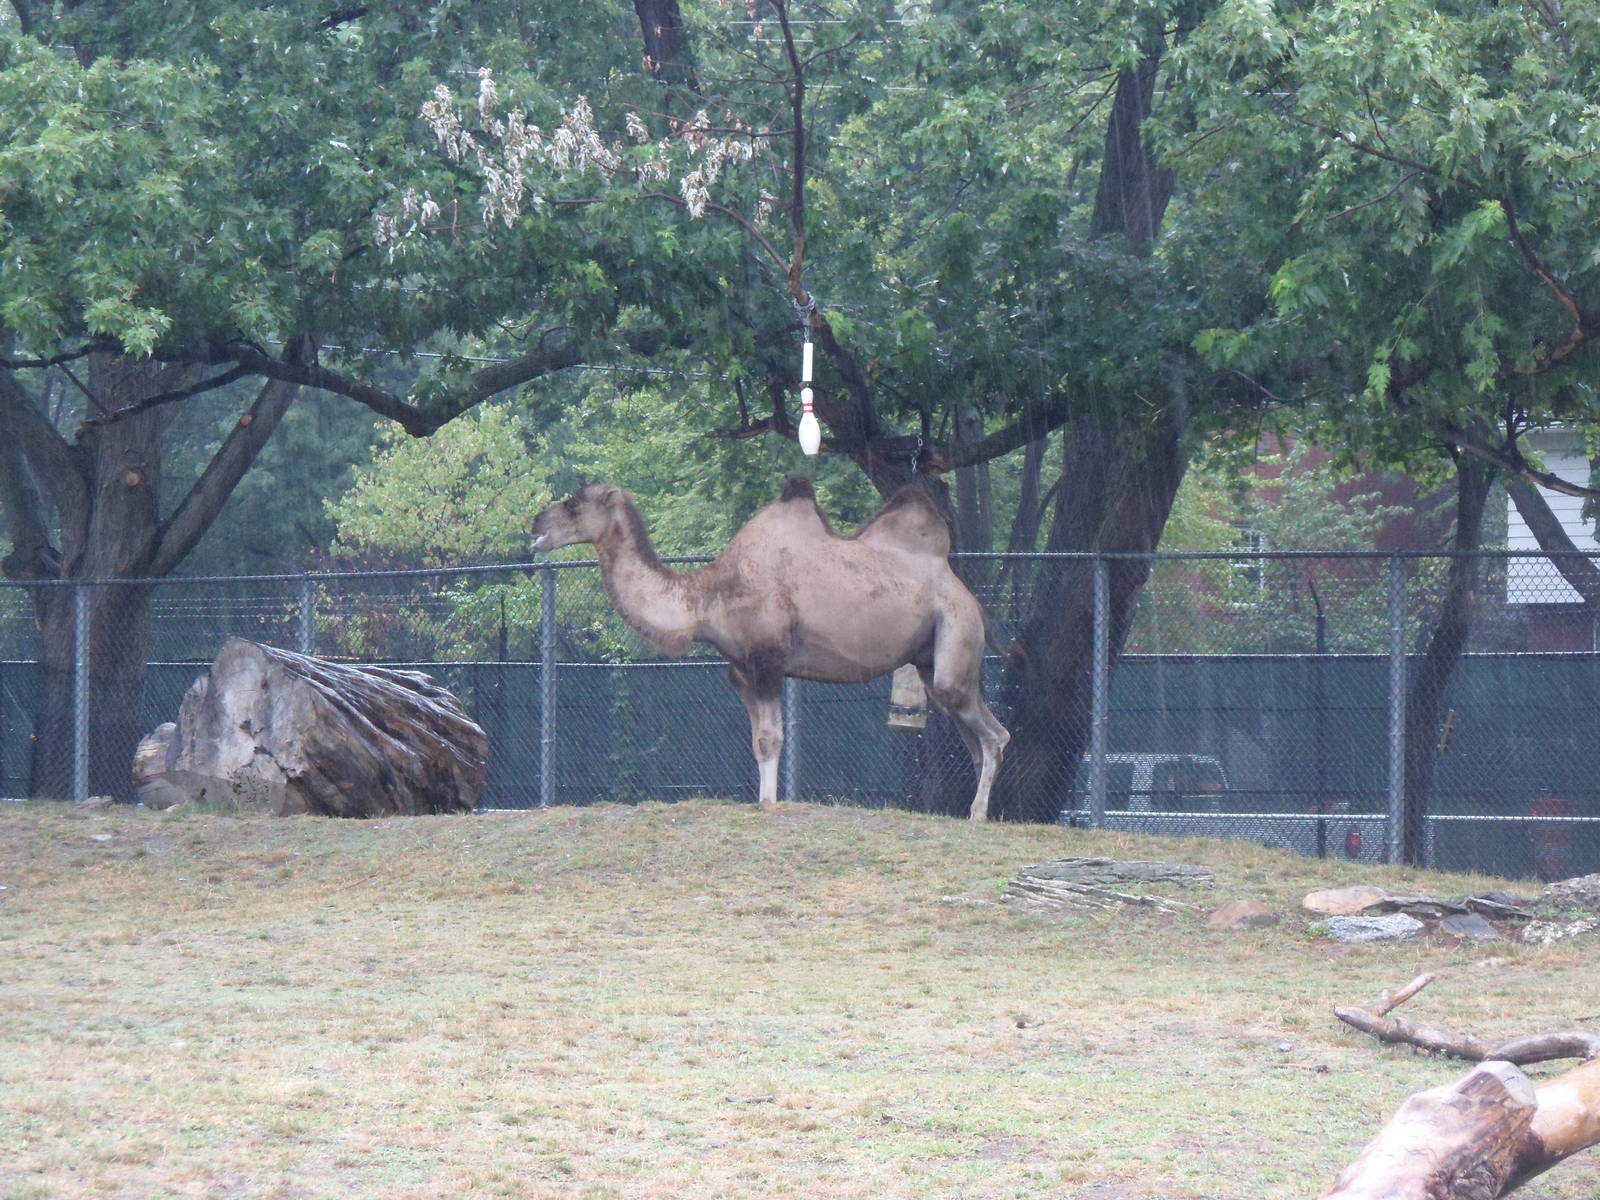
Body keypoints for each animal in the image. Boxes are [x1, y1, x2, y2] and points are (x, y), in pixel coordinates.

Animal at [530, 476, 1010, 820]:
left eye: (574, 504)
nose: (536, 524)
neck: (708, 600)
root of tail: (970, 597)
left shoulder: (768, 662)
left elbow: (771, 738)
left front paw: (769, 803)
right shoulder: (742, 670)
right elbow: (757, 742)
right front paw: (764, 799)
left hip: (955, 631)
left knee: (993, 732)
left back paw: (978, 814)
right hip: (929, 658)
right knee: (972, 732)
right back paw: (974, 811)